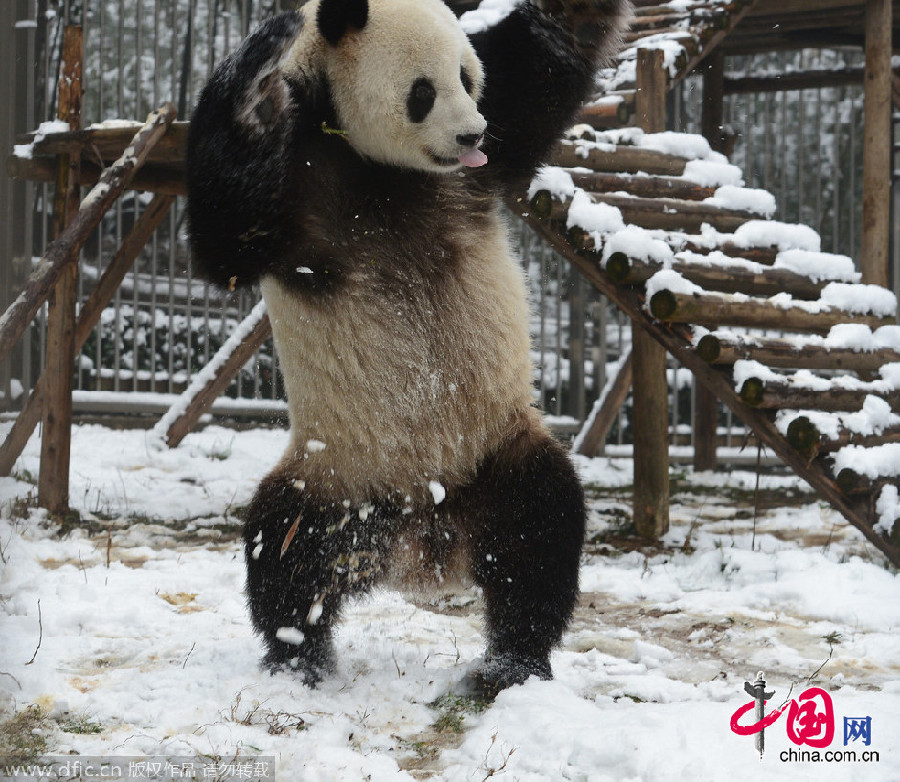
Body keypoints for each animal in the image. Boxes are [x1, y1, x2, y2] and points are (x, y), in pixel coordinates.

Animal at [186, 0, 628, 700]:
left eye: (468, 79)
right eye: (424, 91)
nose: (473, 135)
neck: (384, 167)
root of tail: (423, 540)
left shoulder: (492, 148)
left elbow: (556, 44)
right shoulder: (297, 188)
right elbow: (227, 236)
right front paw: (260, 71)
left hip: (495, 450)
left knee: (539, 534)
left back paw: (511, 665)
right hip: (335, 473)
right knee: (286, 553)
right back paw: (298, 660)